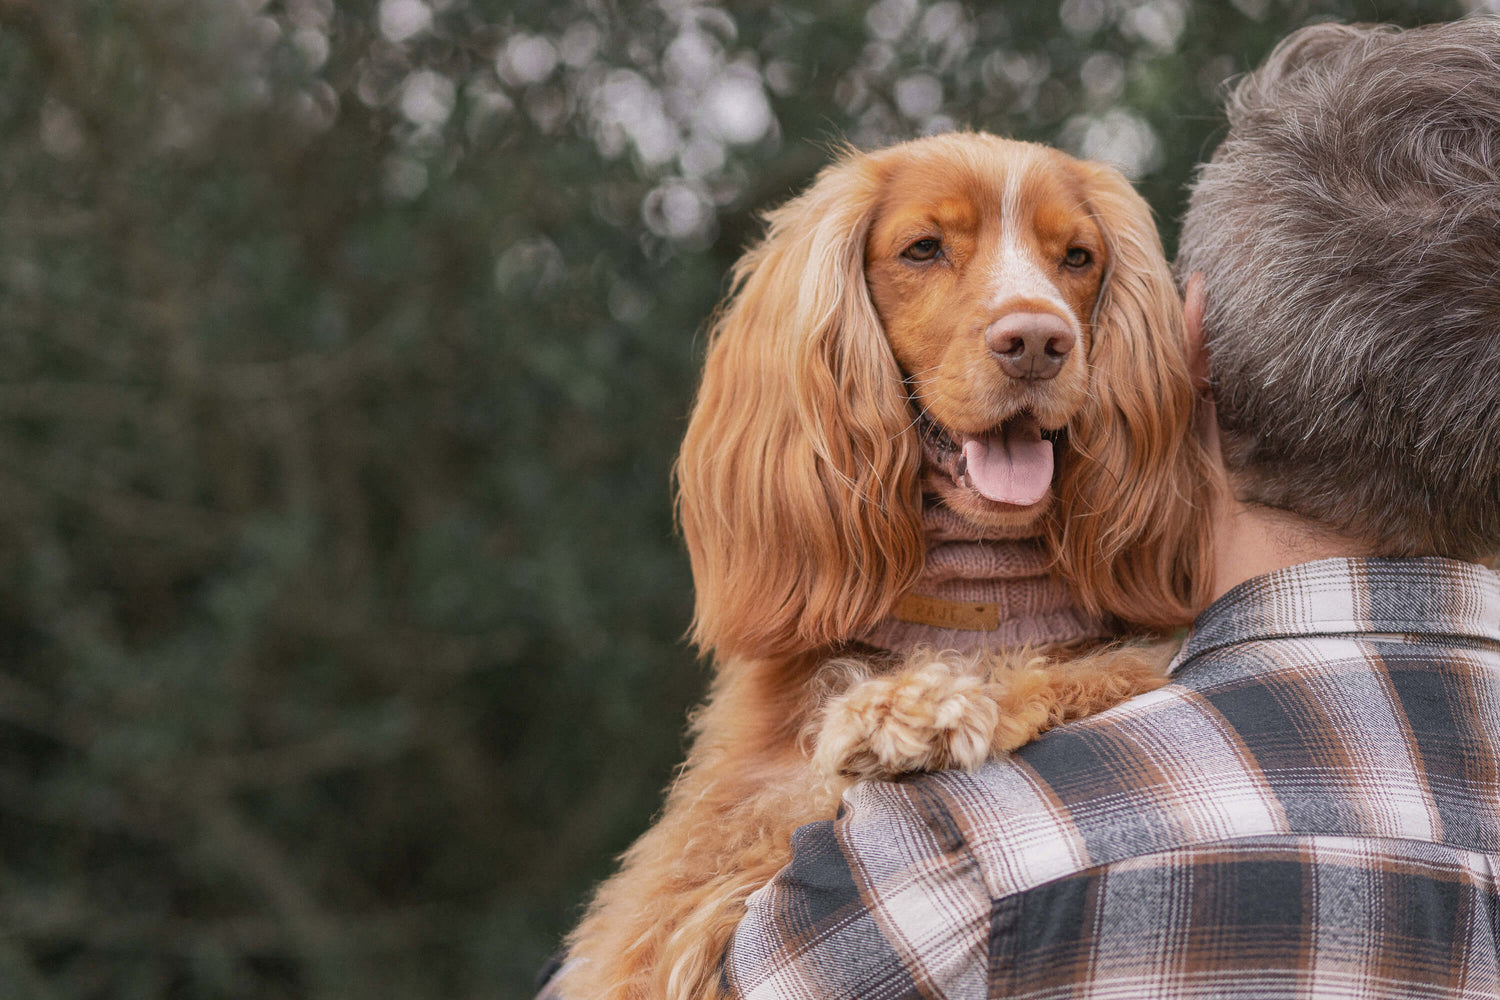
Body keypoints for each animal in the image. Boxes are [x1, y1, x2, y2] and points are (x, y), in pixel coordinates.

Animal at [552, 132, 1218, 1000]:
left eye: (1077, 256)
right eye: (923, 248)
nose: (1039, 342)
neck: (971, 601)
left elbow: (1104, 665)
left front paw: (912, 711)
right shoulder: (687, 868)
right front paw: (903, 707)